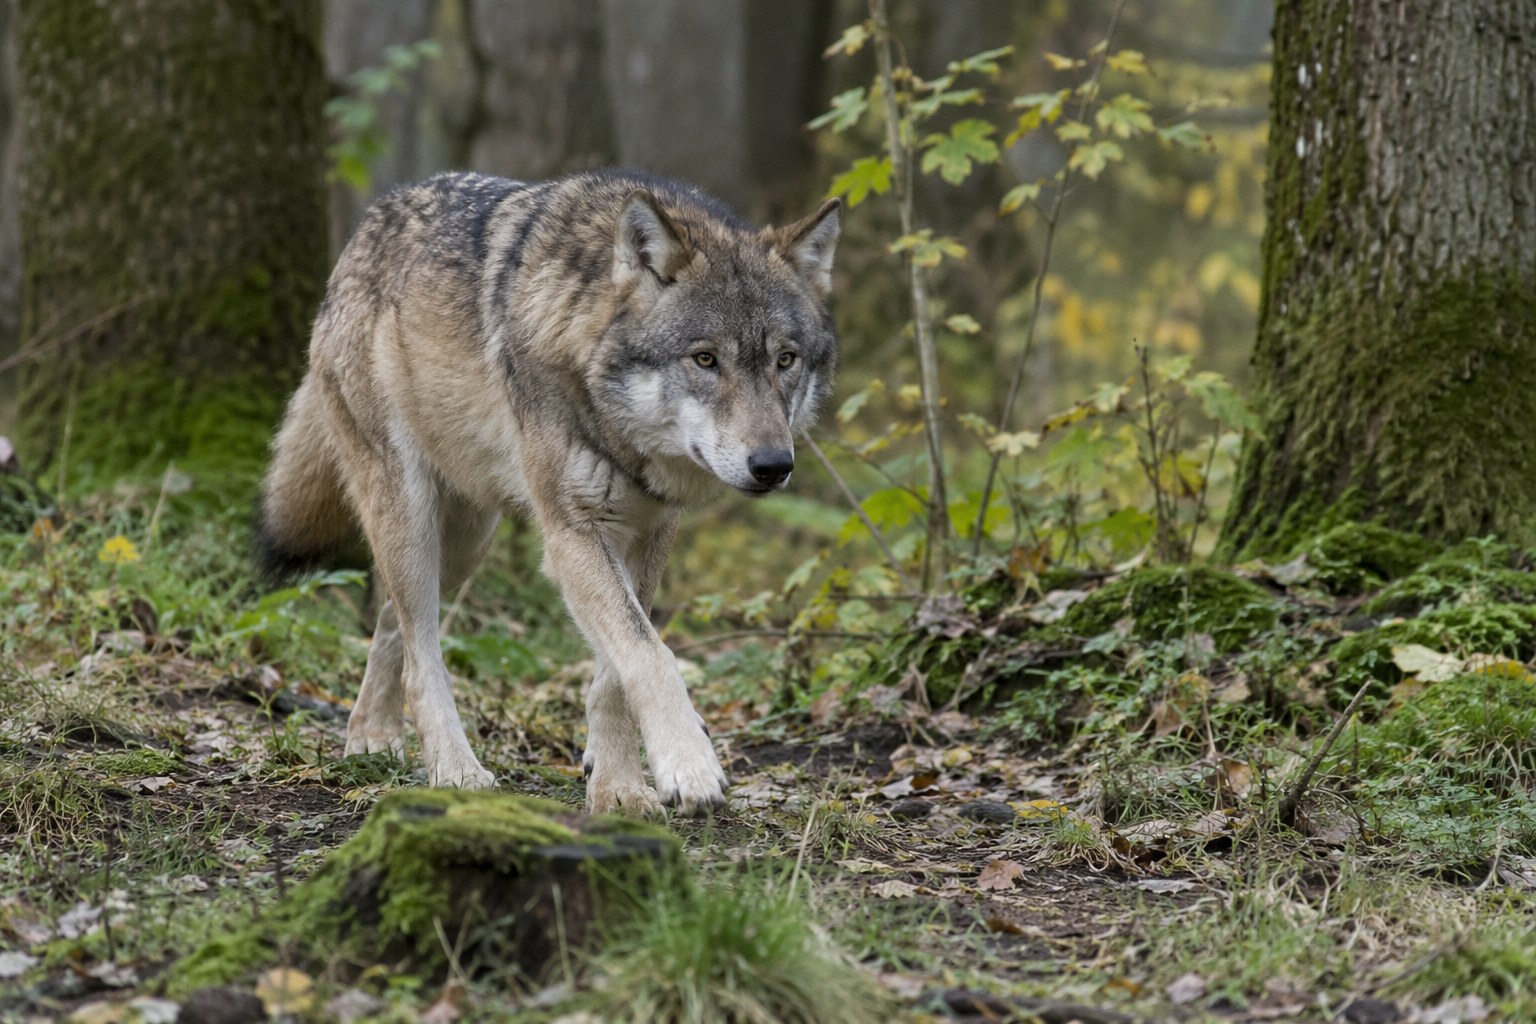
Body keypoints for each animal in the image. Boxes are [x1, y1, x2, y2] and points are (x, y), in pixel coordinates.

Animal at [256, 170, 840, 815]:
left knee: (395, 623)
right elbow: (652, 655)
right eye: (705, 359)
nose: (773, 466)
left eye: (785, 360)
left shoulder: (650, 534)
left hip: (463, 545)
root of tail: (369, 224)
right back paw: (455, 770)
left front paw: (617, 788)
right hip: (409, 516)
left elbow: (617, 670)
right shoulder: (572, 534)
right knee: (420, 646)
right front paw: (688, 766)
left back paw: (372, 735)